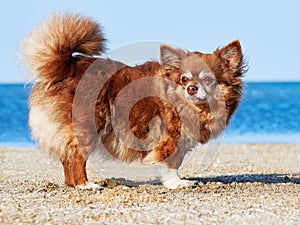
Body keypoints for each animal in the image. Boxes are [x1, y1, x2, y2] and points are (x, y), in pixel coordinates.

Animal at [21, 13, 246, 189]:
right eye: (184, 79)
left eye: (208, 79)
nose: (191, 88)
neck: (195, 108)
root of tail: (65, 68)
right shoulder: (170, 139)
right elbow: (171, 163)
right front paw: (176, 183)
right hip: (88, 128)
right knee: (76, 157)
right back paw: (85, 185)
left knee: (67, 159)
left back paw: (74, 184)